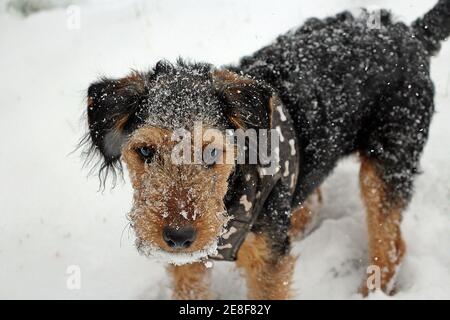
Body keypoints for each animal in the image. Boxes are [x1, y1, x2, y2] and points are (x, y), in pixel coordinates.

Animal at [81, 1, 450, 298]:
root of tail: (410, 34)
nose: (178, 236)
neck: (232, 194)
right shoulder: (188, 264)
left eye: (211, 153)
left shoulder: (267, 267)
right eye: (145, 152)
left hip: (388, 163)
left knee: (390, 245)